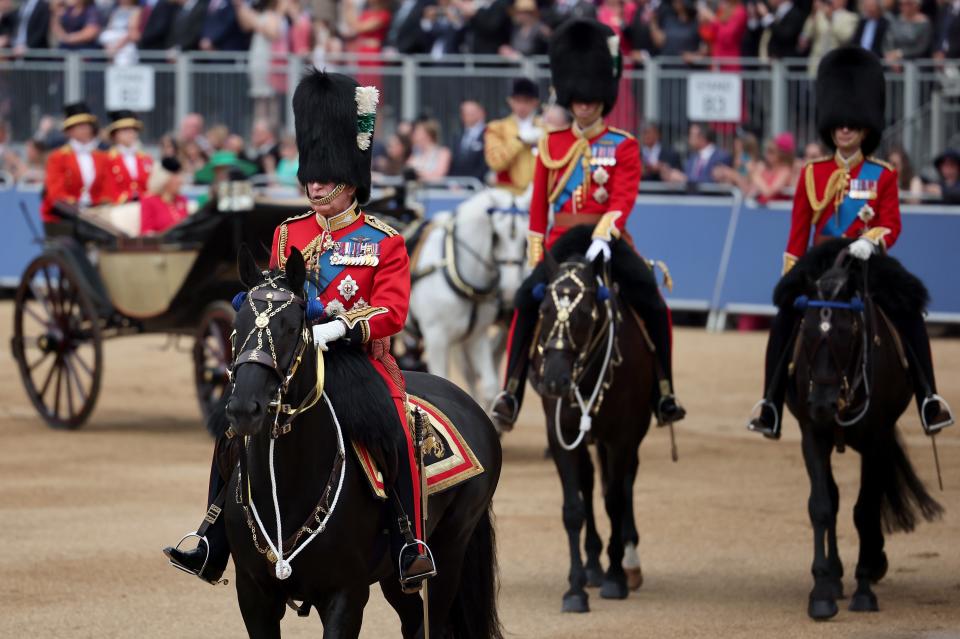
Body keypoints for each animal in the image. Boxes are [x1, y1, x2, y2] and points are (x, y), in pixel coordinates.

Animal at [220, 246, 502, 639]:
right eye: (238, 325)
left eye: (292, 328)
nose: (245, 408)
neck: (286, 485)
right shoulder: (252, 593)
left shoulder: (346, 596)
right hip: (396, 578)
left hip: (448, 554)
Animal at [410, 188, 532, 412]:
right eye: (496, 236)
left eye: (525, 240)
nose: (511, 291)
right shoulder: (436, 337)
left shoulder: (477, 335)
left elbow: (489, 386)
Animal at [528, 251, 656, 616]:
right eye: (544, 310)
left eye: (585, 312)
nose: (554, 381)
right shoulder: (560, 434)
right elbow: (574, 509)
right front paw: (574, 589)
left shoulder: (621, 437)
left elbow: (614, 500)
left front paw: (615, 577)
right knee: (587, 482)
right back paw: (593, 566)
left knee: (624, 483)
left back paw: (627, 561)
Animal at [776, 240, 940, 620]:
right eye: (805, 329)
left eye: (848, 331)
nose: (822, 404)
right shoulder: (812, 435)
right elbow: (822, 505)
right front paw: (822, 591)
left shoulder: (877, 438)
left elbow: (866, 510)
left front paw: (864, 588)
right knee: (835, 499)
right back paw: (836, 576)